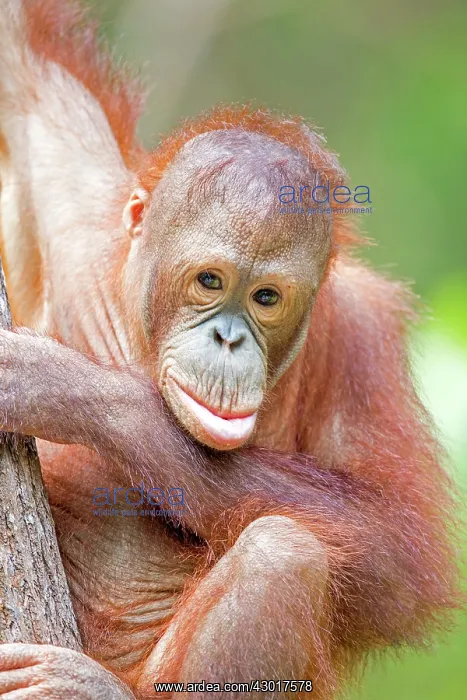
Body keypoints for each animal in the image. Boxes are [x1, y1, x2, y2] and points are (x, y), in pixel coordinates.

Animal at [0, 1, 461, 699]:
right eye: (210, 281)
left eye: (266, 297)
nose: (229, 336)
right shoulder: (63, 168)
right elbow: (18, 55)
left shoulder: (362, 334)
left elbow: (395, 549)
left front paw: (62, 388)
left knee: (284, 554)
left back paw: (95, 687)